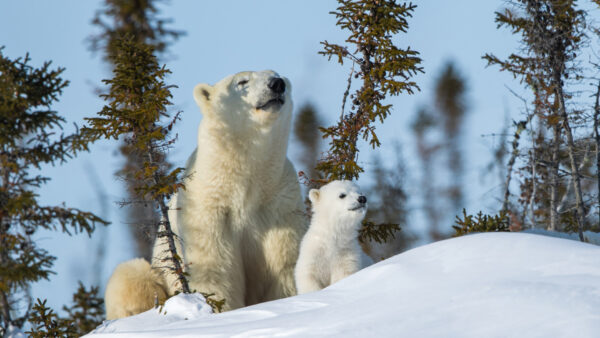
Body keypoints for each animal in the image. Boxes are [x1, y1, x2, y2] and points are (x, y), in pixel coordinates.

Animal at [105, 70, 308, 318]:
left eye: (276, 75)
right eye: (242, 82)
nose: (277, 84)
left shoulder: (278, 203)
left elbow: (283, 264)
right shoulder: (207, 208)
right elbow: (213, 267)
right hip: (155, 270)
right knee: (131, 277)